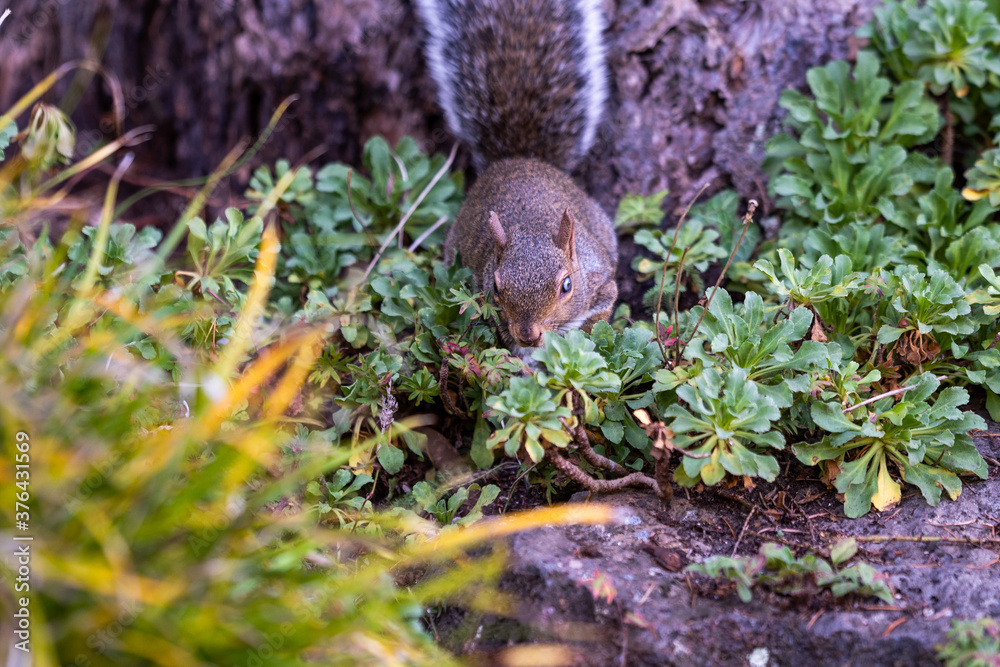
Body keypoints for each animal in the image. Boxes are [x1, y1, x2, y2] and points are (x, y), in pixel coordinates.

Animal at [414, 0, 618, 355]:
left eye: (566, 285)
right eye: (496, 287)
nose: (528, 334)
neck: (533, 223)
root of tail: (518, 158)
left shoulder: (601, 283)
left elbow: (598, 317)